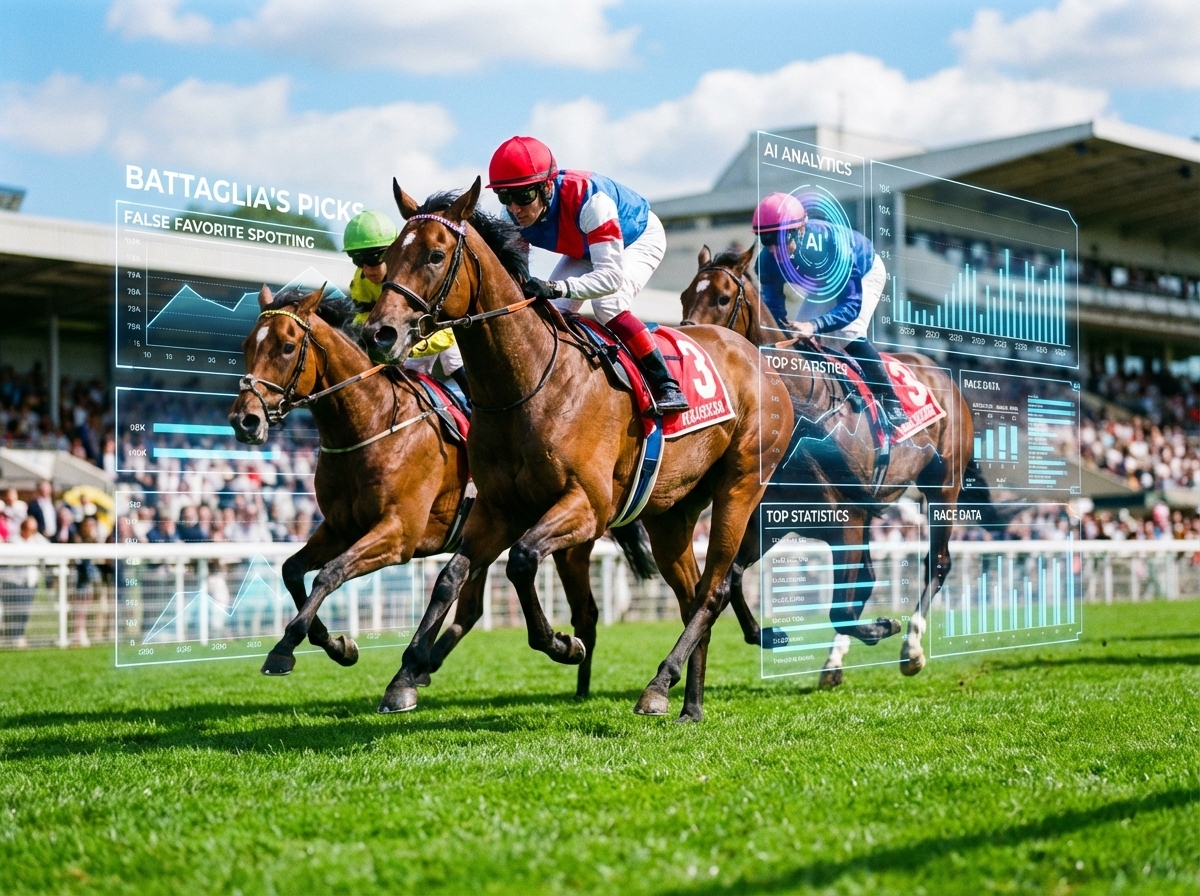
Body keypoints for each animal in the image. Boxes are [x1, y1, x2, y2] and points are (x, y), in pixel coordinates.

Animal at [227, 285, 479, 678]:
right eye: (246, 344)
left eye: (287, 346)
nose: (245, 420)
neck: (373, 422)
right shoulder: (340, 528)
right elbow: (291, 569)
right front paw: (336, 645)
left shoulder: (399, 534)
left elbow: (330, 574)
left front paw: (285, 647)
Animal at [360, 178, 794, 721]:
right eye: (392, 253)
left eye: (436, 255)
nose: (379, 333)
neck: (527, 380)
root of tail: (759, 359)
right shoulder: (498, 508)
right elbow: (451, 575)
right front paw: (405, 675)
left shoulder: (588, 506)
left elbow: (522, 561)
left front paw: (564, 645)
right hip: (670, 513)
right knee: (692, 596)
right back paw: (689, 704)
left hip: (739, 487)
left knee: (713, 591)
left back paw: (659, 683)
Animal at [680, 244, 977, 686]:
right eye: (685, 295)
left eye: (721, 297)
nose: (690, 346)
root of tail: (942, 374)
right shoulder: (773, 519)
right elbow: (732, 579)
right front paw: (768, 634)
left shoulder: (846, 519)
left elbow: (841, 609)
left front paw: (884, 626)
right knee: (869, 579)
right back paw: (835, 661)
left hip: (942, 487)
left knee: (936, 563)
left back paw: (911, 648)